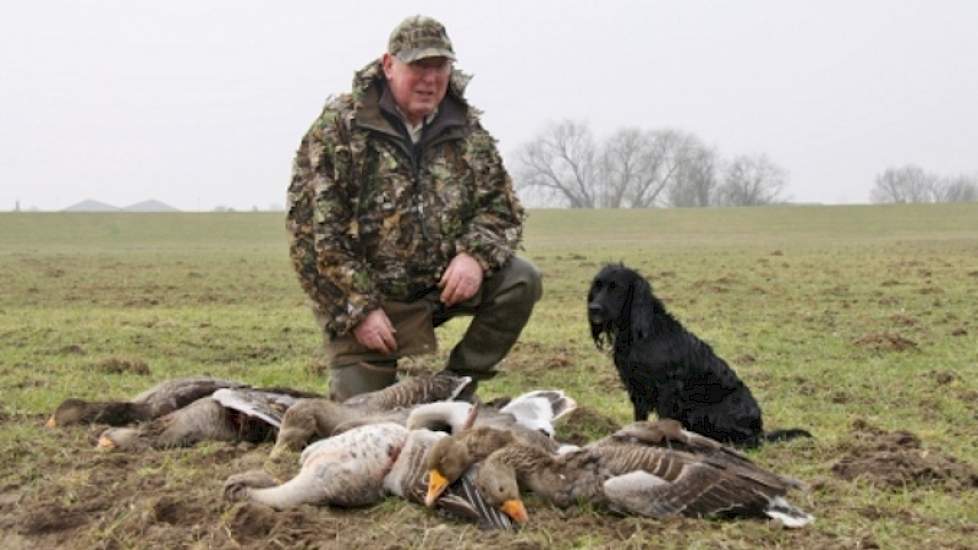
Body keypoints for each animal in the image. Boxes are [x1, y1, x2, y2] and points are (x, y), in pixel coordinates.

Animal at [588, 264, 808, 448]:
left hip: (708, 413)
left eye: (616, 288)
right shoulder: (636, 387)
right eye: (597, 286)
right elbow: (639, 419)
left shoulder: (668, 388)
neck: (642, 333)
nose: (594, 309)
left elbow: (664, 420)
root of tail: (760, 430)